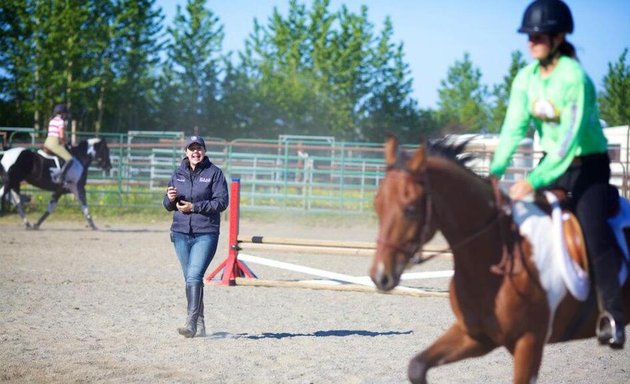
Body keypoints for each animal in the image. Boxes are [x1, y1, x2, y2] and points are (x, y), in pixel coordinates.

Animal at [370, 136, 630, 384]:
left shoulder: (529, 342)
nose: (380, 276)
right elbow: (417, 367)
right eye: (377, 205)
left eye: (410, 209)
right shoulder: (476, 336)